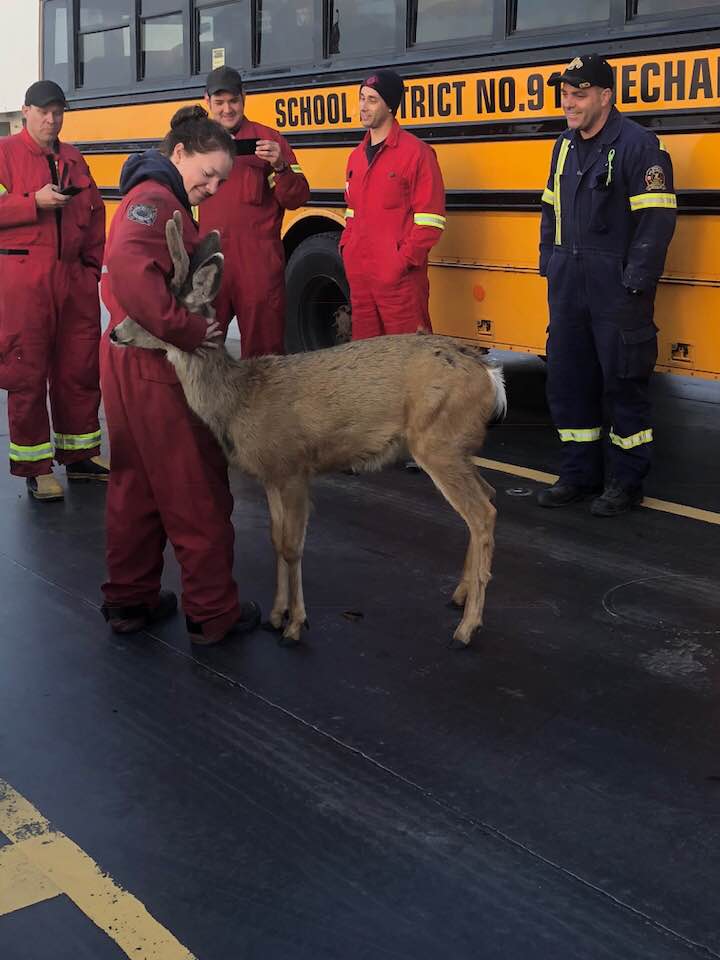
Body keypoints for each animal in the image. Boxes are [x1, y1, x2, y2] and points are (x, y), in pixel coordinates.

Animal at [110, 213, 507, 649]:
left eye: (149, 309)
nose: (115, 333)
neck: (241, 398)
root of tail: (490, 376)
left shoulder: (294, 466)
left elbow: (292, 546)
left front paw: (296, 624)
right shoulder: (271, 474)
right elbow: (275, 539)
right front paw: (275, 614)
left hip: (437, 441)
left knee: (482, 512)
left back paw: (467, 627)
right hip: (456, 445)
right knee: (487, 497)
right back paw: (460, 595)